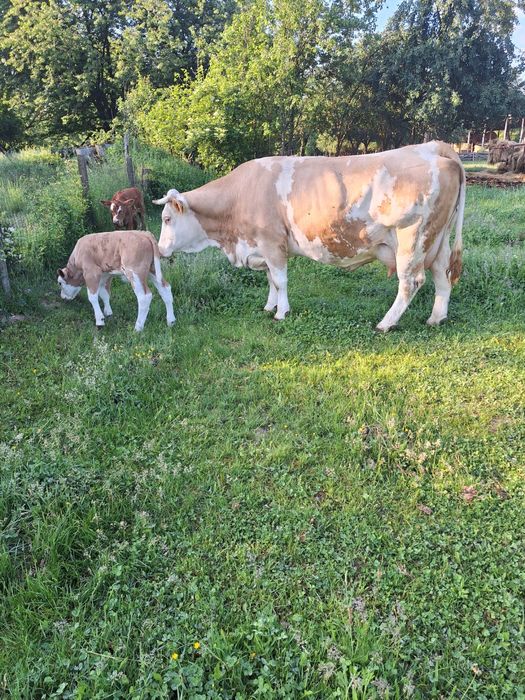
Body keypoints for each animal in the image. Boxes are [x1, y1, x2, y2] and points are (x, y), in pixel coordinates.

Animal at [153, 142, 465, 332]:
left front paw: (281, 312)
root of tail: (433, 146)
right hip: (437, 240)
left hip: (412, 238)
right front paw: (269, 306)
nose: (160, 249)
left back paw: (385, 323)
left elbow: (280, 280)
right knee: (442, 276)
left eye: (167, 219)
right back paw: (436, 318)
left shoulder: (272, 243)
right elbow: (271, 279)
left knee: (411, 282)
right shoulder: (262, 248)